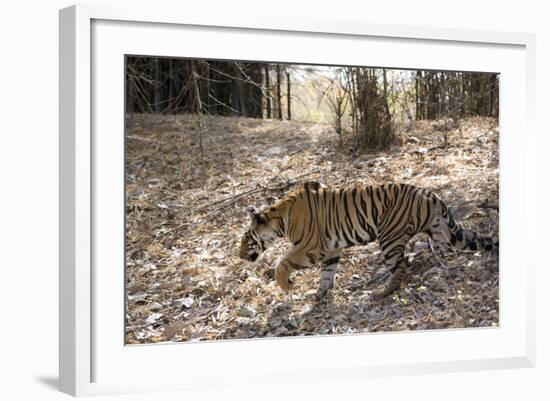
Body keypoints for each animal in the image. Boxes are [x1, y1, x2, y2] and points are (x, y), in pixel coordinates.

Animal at [239, 181, 498, 300]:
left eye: (245, 239)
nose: (239, 255)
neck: (280, 220)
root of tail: (431, 195)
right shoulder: (331, 249)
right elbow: (327, 273)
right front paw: (320, 295)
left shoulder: (311, 246)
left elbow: (282, 263)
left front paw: (288, 285)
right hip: (444, 232)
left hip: (389, 237)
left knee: (401, 269)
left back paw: (380, 293)